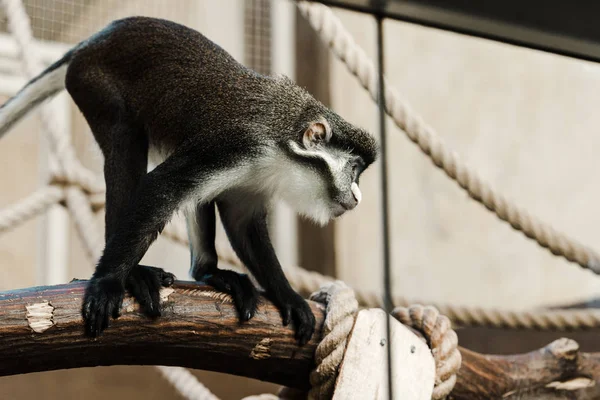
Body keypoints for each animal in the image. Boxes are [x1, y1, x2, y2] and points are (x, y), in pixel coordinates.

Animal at [0, 17, 376, 346]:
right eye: (355, 168)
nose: (358, 195)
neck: (281, 142)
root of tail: (93, 41)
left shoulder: (253, 181)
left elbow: (242, 222)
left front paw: (288, 296)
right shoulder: (231, 145)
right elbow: (162, 186)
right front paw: (107, 281)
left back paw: (210, 272)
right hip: (93, 84)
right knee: (126, 140)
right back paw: (132, 274)